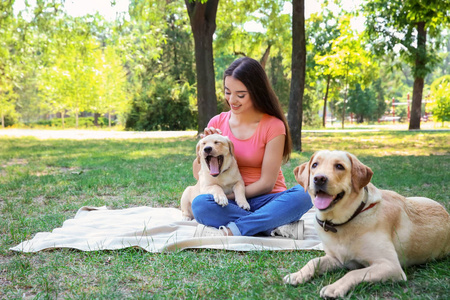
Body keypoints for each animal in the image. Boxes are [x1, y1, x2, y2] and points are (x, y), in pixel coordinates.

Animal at [284, 151, 450, 298]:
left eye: (339, 166)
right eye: (315, 165)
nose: (319, 178)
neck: (344, 221)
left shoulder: (390, 266)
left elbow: (354, 273)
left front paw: (334, 287)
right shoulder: (337, 259)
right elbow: (314, 261)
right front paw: (297, 274)